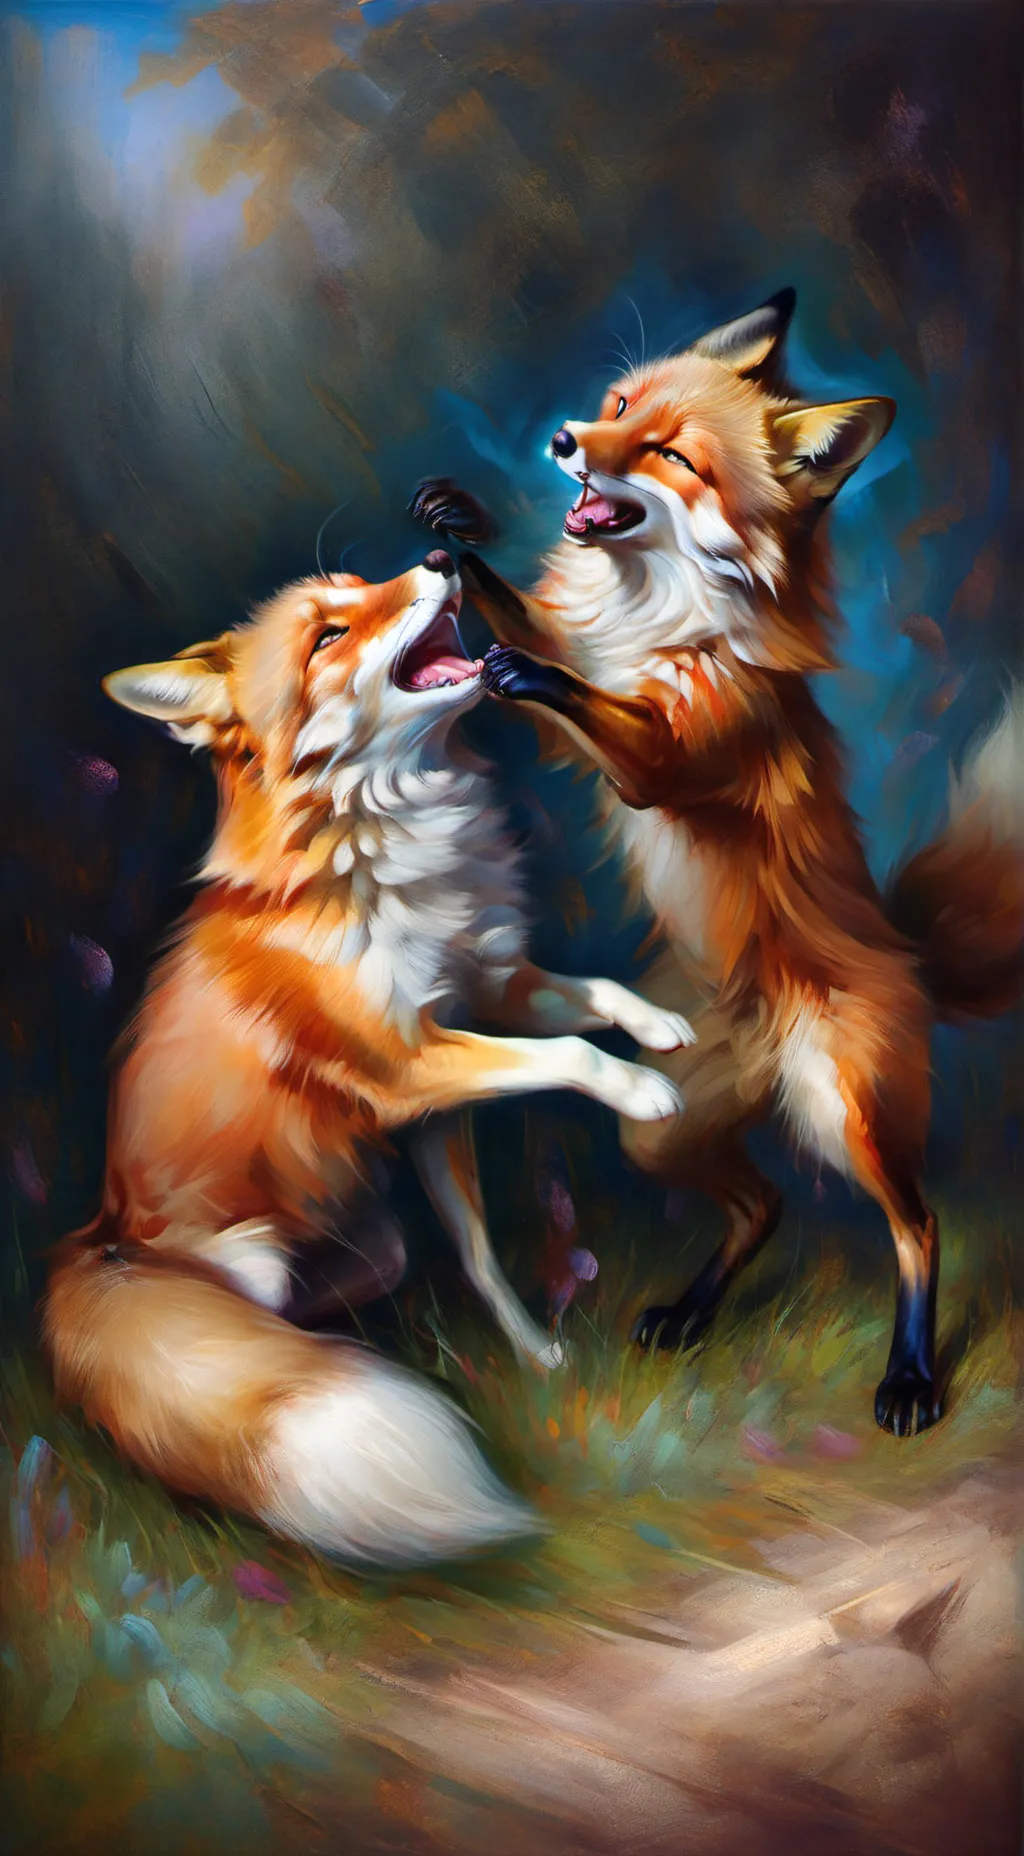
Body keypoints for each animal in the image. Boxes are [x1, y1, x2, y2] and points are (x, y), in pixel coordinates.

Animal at [43, 551, 693, 1567]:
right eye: (327, 636)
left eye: (359, 582)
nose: (439, 557)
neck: (392, 854)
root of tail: (103, 1232)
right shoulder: (407, 1065)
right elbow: (574, 1053)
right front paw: (642, 1089)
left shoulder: (473, 1019)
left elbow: (584, 1016)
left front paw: (661, 1027)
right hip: (254, 1268)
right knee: (252, 1355)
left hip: (377, 1245)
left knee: (341, 1305)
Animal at [412, 287, 1024, 1438]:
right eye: (617, 409)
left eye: (667, 455)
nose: (564, 441)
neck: (650, 609)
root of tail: (909, 956)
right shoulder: (583, 668)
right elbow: (537, 628)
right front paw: (455, 534)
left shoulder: (669, 760)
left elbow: (597, 707)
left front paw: (526, 669)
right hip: (659, 1130)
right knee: (764, 1202)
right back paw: (691, 1312)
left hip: (847, 1111)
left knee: (917, 1227)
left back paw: (911, 1377)